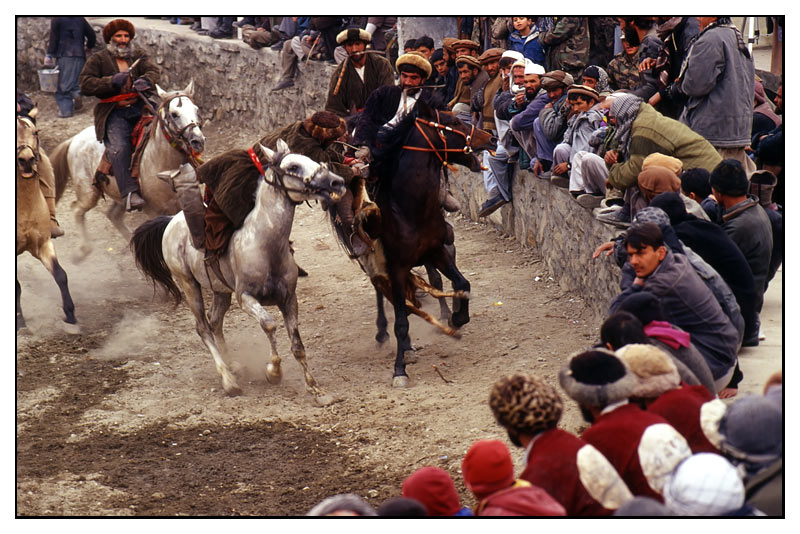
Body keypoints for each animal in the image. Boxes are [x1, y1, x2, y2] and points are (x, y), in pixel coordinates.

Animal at [50, 81, 205, 262]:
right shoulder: (154, 211)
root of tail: (74, 139)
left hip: (120, 196)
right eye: (174, 114)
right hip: (88, 193)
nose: (198, 141)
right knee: (77, 209)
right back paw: (83, 250)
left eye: (196, 110)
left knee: (113, 215)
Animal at [130, 140, 346, 408]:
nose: (337, 182)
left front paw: (316, 389)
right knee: (203, 328)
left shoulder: (289, 299)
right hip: (188, 284)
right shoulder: (246, 298)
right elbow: (269, 324)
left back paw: (232, 365)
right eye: (293, 166)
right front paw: (273, 371)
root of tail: (171, 220)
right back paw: (228, 380)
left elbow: (297, 345)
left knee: (214, 321)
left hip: (220, 291)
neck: (266, 245)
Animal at [334, 100, 496, 388]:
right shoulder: (396, 267)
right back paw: (385, 335)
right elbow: (400, 322)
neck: (408, 207)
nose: (491, 137)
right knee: (383, 295)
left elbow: (462, 284)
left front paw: (457, 318)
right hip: (374, 261)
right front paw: (399, 370)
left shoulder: (437, 251)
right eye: (454, 122)